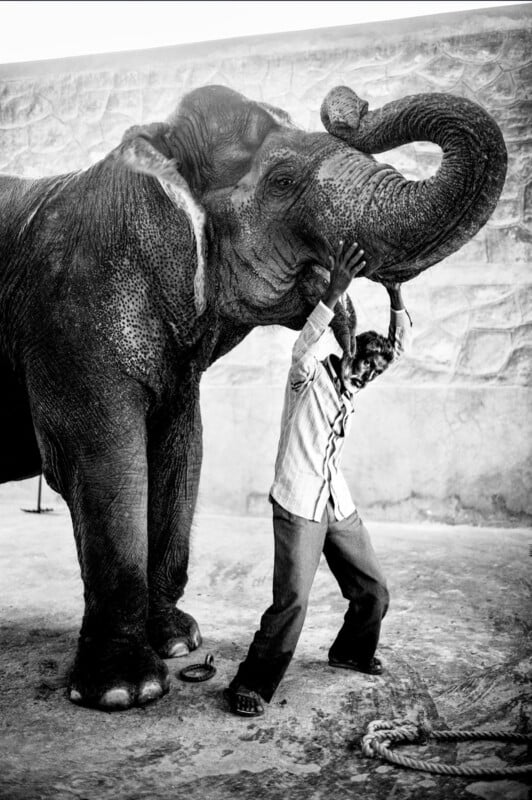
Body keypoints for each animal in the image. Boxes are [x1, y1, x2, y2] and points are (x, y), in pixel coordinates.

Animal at [0, 84, 506, 710]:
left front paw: (178, 643)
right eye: (283, 180)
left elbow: (182, 454)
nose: (352, 105)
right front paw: (125, 693)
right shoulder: (73, 317)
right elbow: (103, 464)